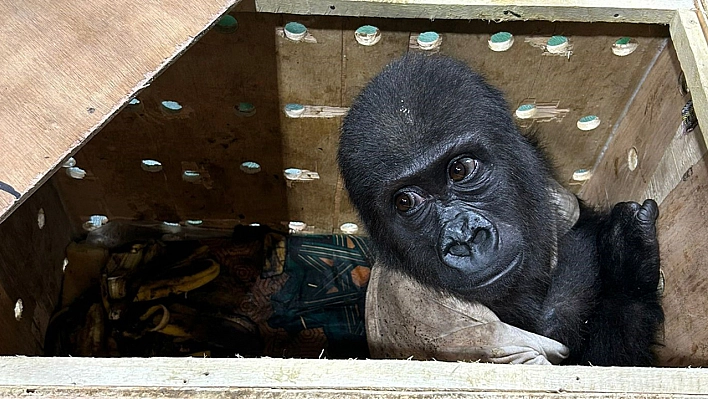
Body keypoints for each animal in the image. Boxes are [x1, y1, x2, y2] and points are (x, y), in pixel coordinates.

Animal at [338, 54, 664, 368]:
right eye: (406, 202)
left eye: (459, 169)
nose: (464, 238)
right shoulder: (453, 327)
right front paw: (628, 270)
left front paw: (625, 255)